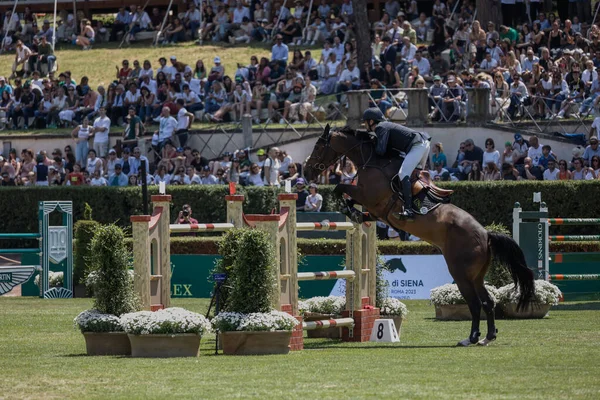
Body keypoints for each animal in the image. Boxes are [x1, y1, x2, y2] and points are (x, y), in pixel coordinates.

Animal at [304, 125, 536, 346]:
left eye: (317, 146)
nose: (306, 173)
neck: (371, 161)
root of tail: (486, 234)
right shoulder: (376, 209)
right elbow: (351, 199)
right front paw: (355, 213)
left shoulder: (369, 196)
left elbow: (339, 187)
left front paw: (348, 209)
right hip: (476, 276)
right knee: (487, 302)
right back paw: (487, 337)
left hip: (461, 273)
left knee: (475, 303)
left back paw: (469, 338)